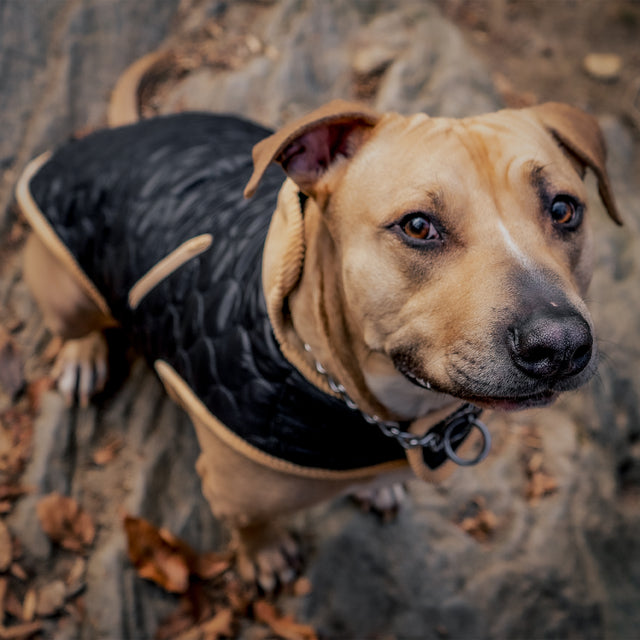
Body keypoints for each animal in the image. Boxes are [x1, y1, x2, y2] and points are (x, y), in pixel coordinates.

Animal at [13, 101, 620, 592]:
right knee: (77, 324)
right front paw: (264, 556)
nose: (560, 344)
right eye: (418, 226)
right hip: (70, 291)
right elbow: (254, 525)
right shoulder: (232, 492)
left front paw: (379, 490)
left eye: (564, 209)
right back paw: (82, 357)